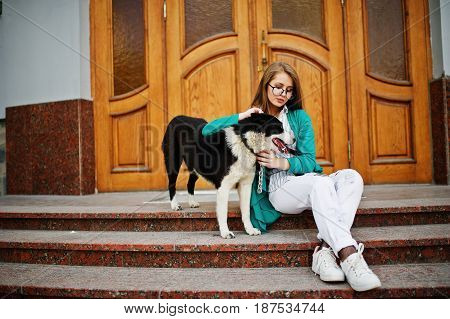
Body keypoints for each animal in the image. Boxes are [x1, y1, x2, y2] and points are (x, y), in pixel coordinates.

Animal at [160, 114, 294, 239]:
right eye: (280, 127)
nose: (294, 139)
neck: (245, 143)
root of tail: (176, 118)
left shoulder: (245, 185)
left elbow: (246, 211)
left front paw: (249, 230)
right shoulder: (223, 187)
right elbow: (223, 212)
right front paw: (225, 233)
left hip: (196, 166)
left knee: (190, 183)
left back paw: (192, 202)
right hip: (173, 162)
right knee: (171, 184)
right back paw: (175, 205)